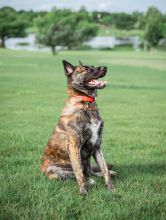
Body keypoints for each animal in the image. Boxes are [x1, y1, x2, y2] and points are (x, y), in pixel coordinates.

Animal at [40, 59, 115, 194]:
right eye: (85, 69)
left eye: (92, 66)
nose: (105, 67)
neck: (86, 104)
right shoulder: (74, 146)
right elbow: (79, 173)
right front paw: (84, 192)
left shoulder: (97, 145)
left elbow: (105, 169)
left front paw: (111, 188)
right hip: (56, 170)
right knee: (75, 175)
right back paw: (89, 181)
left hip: (87, 159)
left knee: (90, 172)